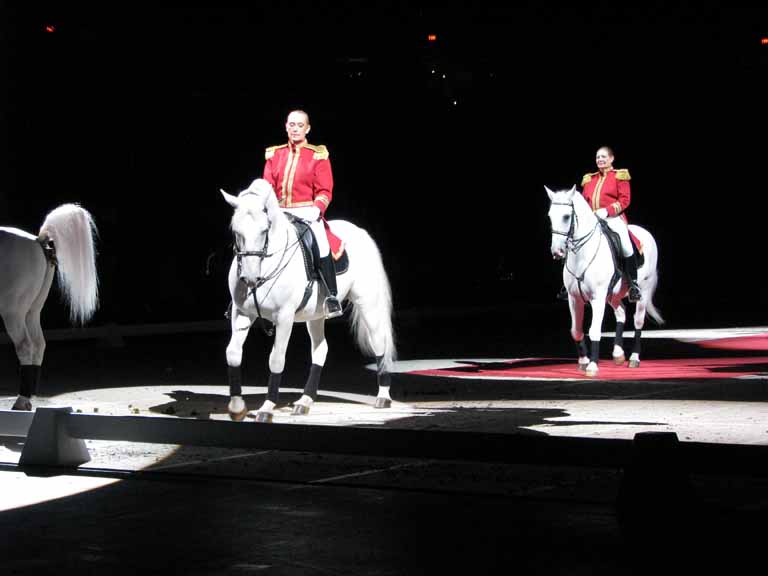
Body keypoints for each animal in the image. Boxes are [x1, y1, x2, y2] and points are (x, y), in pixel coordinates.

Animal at [0, 204, 99, 410]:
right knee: (39, 344)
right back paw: (28, 398)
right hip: (32, 311)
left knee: (25, 345)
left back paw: (21, 401)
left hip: (13, 312)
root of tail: (39, 241)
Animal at [219, 178, 392, 420]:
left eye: (264, 230)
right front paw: (237, 407)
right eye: (236, 231)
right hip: (316, 314)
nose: (251, 278)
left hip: (368, 302)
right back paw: (304, 401)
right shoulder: (242, 313)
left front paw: (267, 407)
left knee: (378, 342)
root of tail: (360, 231)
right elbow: (232, 353)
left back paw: (383, 396)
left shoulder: (284, 317)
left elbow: (276, 359)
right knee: (320, 349)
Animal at [544, 186, 660, 378]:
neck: (581, 255)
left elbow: (594, 330)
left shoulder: (597, 298)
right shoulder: (574, 298)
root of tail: (646, 232)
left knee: (638, 321)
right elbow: (576, 330)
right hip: (613, 295)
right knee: (621, 313)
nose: (557, 251)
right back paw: (618, 354)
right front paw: (583, 361)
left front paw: (592, 365)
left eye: (566, 216)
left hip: (642, 290)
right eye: (550, 216)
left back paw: (634, 358)